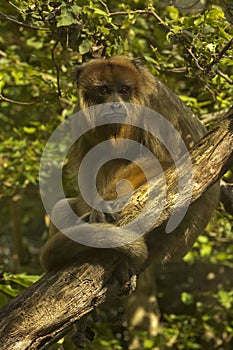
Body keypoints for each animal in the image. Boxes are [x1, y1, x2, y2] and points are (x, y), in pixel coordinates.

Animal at [39, 54, 219, 274]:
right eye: (104, 90)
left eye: (124, 90)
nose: (115, 105)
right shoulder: (79, 116)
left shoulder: (154, 103)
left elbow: (168, 159)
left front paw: (106, 200)